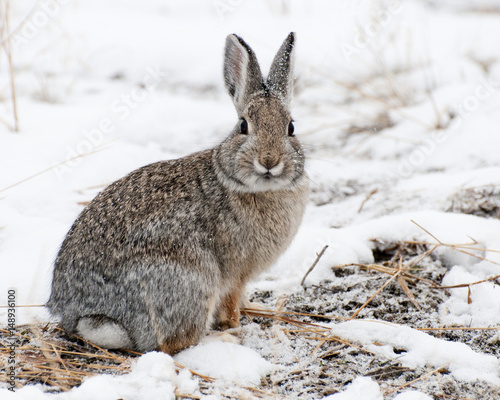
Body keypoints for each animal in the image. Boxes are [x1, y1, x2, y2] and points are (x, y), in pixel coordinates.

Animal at [47, 32, 308, 354]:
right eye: (243, 126)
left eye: (291, 127)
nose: (269, 161)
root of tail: (84, 313)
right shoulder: (234, 276)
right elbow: (230, 306)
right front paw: (236, 326)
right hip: (189, 281)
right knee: (175, 342)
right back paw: (223, 340)